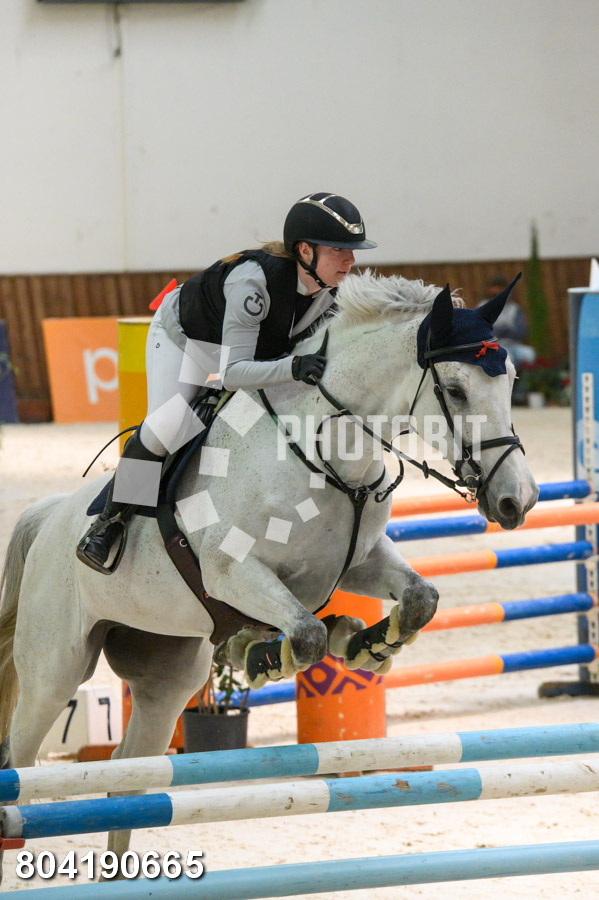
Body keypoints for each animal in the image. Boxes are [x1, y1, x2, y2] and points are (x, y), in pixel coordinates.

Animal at [0, 271, 538, 869]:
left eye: (512, 381)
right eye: (458, 390)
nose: (518, 500)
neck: (327, 452)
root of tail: (50, 517)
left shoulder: (357, 562)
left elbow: (419, 599)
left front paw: (364, 643)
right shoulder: (233, 573)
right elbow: (303, 634)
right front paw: (264, 658)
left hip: (167, 673)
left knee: (127, 779)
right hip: (55, 670)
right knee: (20, 763)